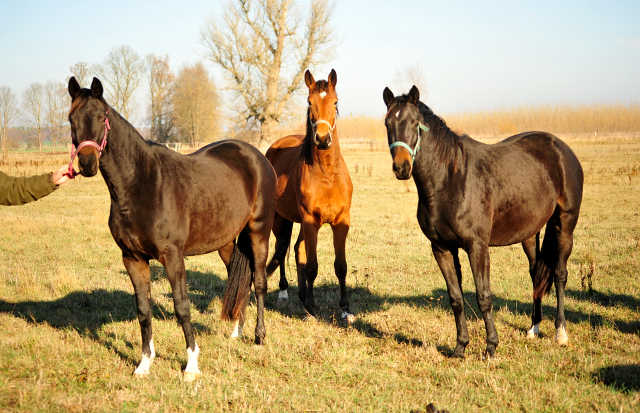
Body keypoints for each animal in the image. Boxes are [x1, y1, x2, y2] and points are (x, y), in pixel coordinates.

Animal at [68, 76, 278, 380]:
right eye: (71, 119)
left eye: (100, 117)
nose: (86, 163)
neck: (141, 184)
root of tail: (257, 157)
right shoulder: (132, 258)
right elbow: (143, 310)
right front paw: (144, 363)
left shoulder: (172, 256)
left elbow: (182, 306)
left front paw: (191, 365)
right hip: (226, 243)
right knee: (240, 279)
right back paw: (236, 330)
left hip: (259, 232)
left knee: (259, 282)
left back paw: (259, 337)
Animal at [264, 69, 356, 320]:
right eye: (309, 102)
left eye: (335, 102)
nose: (323, 139)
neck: (327, 176)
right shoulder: (310, 221)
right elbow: (312, 265)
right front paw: (312, 310)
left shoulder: (341, 221)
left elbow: (340, 265)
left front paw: (346, 309)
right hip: (281, 220)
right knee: (282, 249)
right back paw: (285, 292)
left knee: (296, 250)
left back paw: (303, 295)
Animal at [382, 84, 584, 358]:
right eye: (387, 123)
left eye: (415, 123)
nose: (401, 167)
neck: (451, 179)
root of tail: (561, 148)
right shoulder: (442, 248)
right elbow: (456, 298)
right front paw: (460, 347)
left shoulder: (477, 246)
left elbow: (483, 296)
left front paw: (491, 348)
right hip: (530, 233)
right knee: (536, 275)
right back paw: (534, 327)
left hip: (564, 224)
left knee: (560, 274)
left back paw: (560, 333)